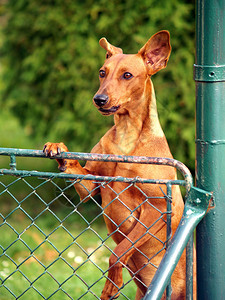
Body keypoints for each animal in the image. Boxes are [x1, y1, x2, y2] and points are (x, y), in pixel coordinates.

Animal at [43, 31, 195, 298]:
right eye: (102, 72)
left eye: (127, 75)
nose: (99, 99)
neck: (126, 137)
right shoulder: (93, 187)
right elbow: (78, 170)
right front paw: (57, 147)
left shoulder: (156, 208)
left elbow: (118, 251)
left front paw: (111, 284)